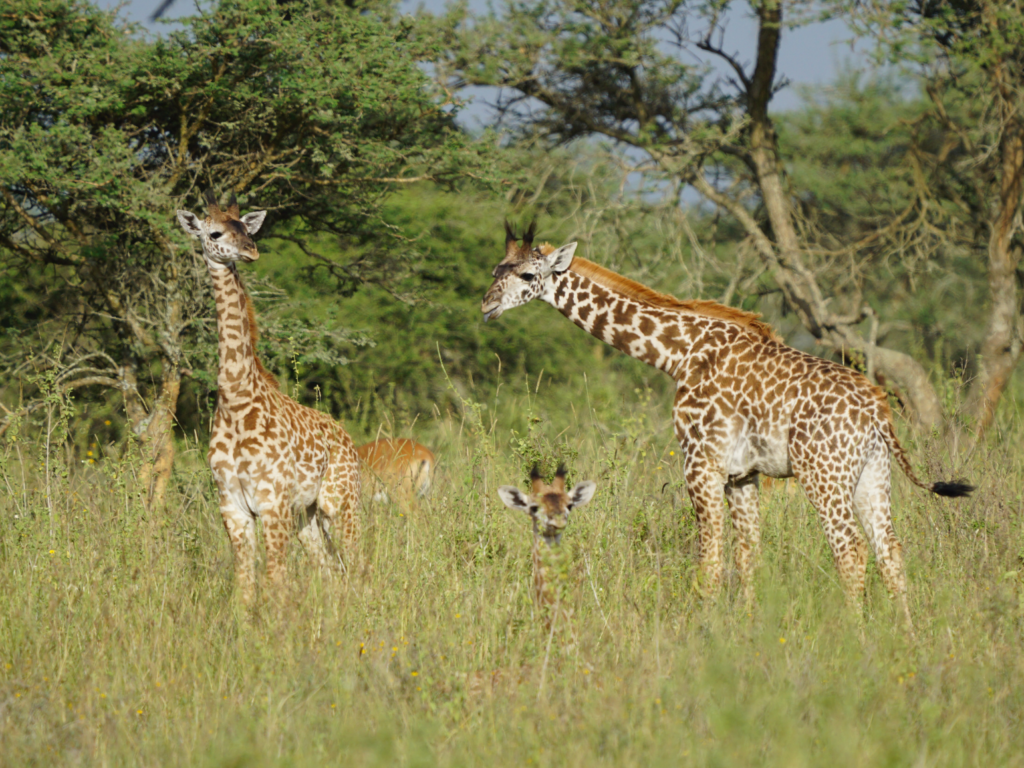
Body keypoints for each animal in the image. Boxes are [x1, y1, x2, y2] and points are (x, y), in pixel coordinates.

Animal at [178, 191, 362, 602]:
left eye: (247, 229)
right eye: (214, 232)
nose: (251, 250)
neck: (236, 401)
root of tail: (347, 437)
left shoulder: (272, 502)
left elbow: (276, 580)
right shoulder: (233, 507)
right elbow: (245, 585)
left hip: (340, 502)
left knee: (360, 561)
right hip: (307, 515)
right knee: (331, 571)